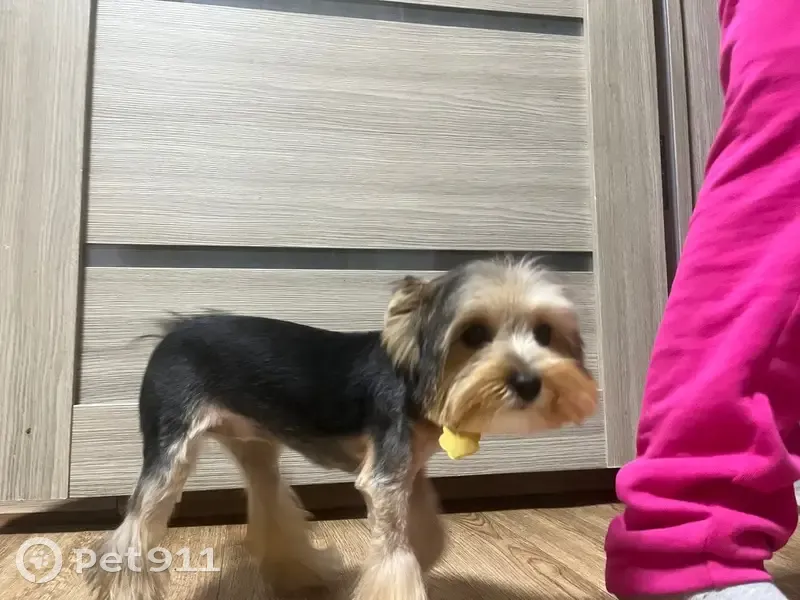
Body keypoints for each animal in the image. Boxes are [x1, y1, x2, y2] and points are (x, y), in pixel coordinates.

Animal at [86, 257, 598, 600]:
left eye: (545, 333)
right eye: (473, 335)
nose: (528, 382)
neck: (413, 379)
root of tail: (171, 332)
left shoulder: (408, 467)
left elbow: (427, 528)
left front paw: (424, 553)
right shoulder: (386, 472)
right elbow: (395, 549)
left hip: (252, 440)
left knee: (267, 494)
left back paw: (301, 574)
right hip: (172, 439)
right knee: (138, 521)